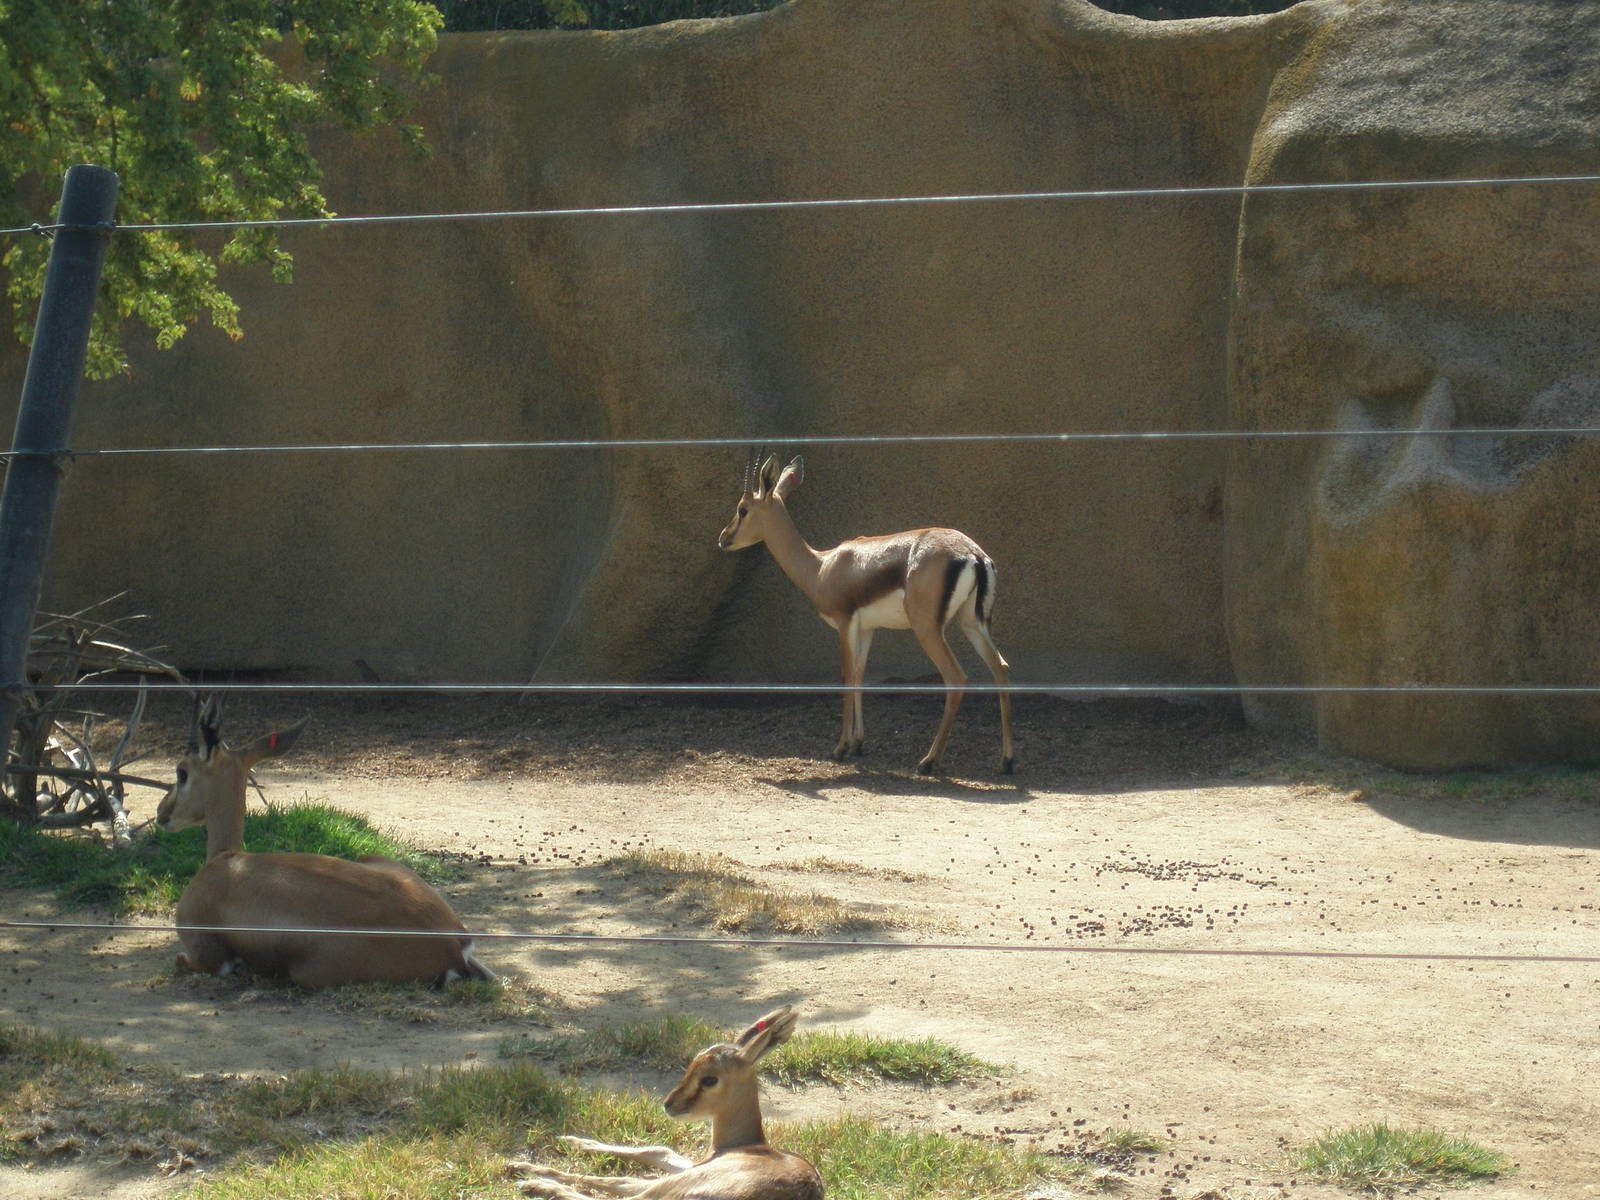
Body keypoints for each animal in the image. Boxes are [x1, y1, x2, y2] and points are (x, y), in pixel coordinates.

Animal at [155, 701, 495, 989]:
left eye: (182, 772)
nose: (162, 813)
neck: (226, 859)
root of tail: (452, 947)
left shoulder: (205, 955)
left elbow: (185, 960)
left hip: (305, 974)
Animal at [506, 1004, 823, 1200]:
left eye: (710, 1079)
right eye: (692, 1063)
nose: (670, 1104)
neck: (742, 1145)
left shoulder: (688, 1173)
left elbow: (619, 1179)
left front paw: (528, 1168)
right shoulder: (690, 1164)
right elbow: (658, 1150)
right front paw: (571, 1140)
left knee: (621, 1190)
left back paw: (531, 1180)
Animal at [718, 454, 1014, 774]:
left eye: (743, 508)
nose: (724, 538)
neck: (821, 567)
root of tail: (974, 554)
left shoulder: (845, 623)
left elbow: (847, 676)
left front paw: (840, 748)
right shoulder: (867, 628)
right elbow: (860, 673)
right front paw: (858, 743)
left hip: (928, 629)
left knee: (956, 677)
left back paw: (928, 761)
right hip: (972, 622)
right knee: (1000, 667)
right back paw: (1006, 761)